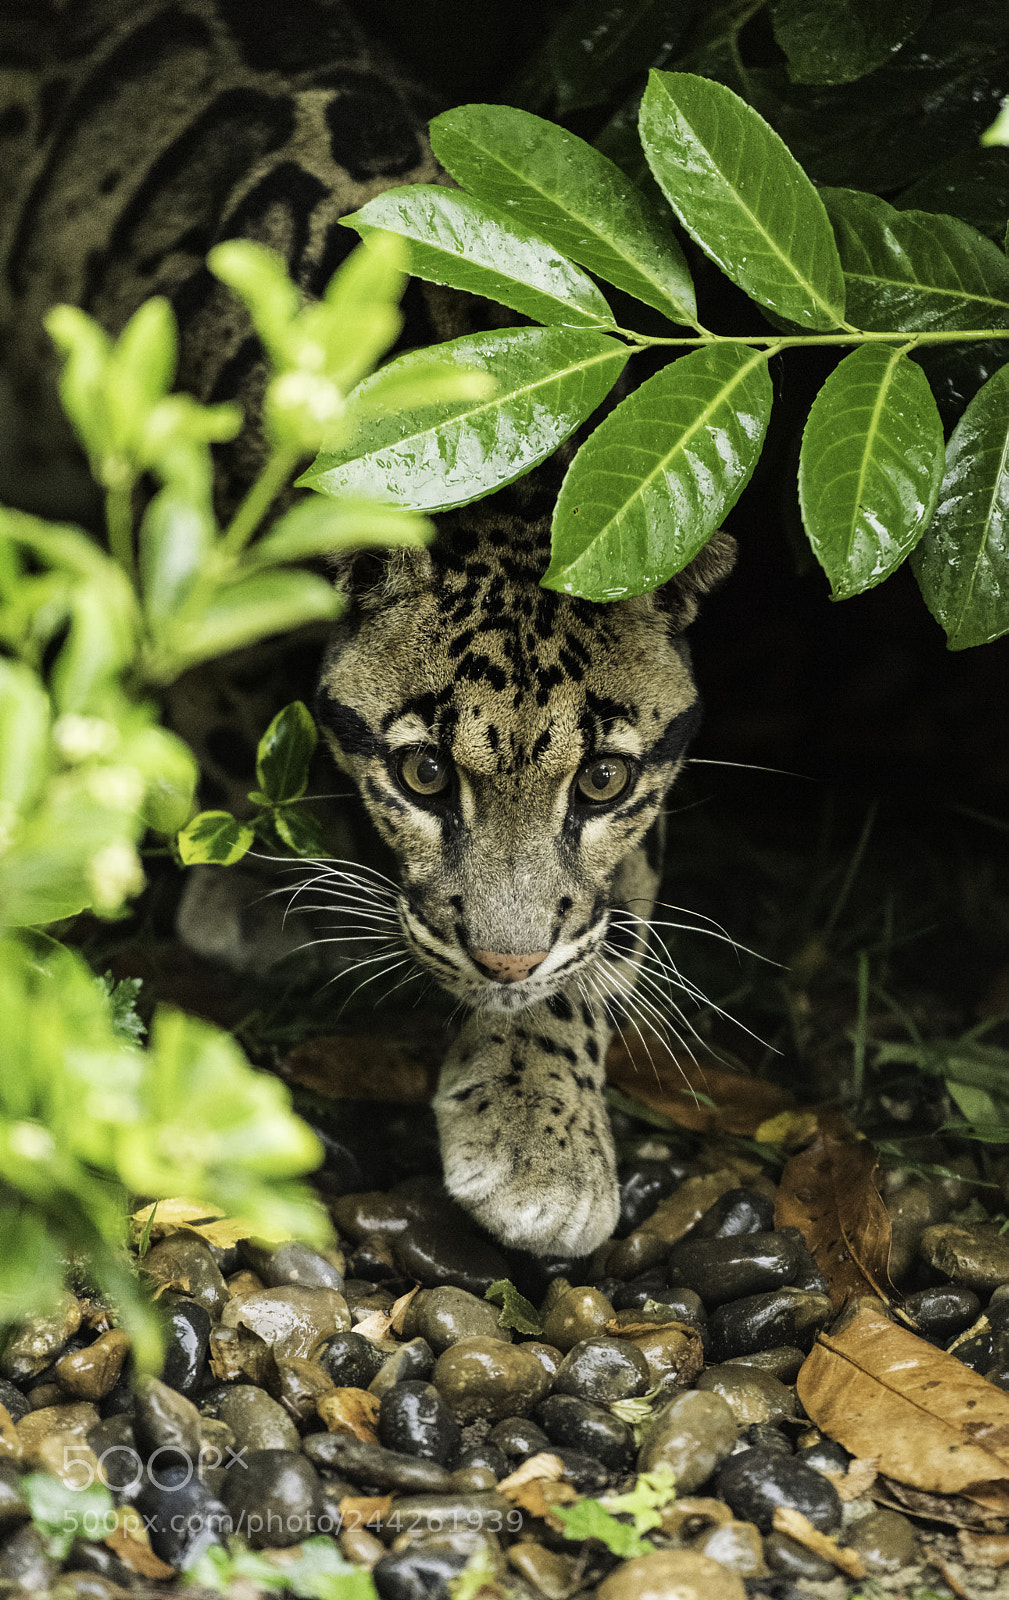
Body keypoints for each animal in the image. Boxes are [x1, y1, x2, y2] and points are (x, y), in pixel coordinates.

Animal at [0, 0, 733, 1257]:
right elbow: (217, 698)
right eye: (424, 774)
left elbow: (603, 925)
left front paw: (539, 1120)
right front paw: (256, 884)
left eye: (598, 782)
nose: (502, 956)